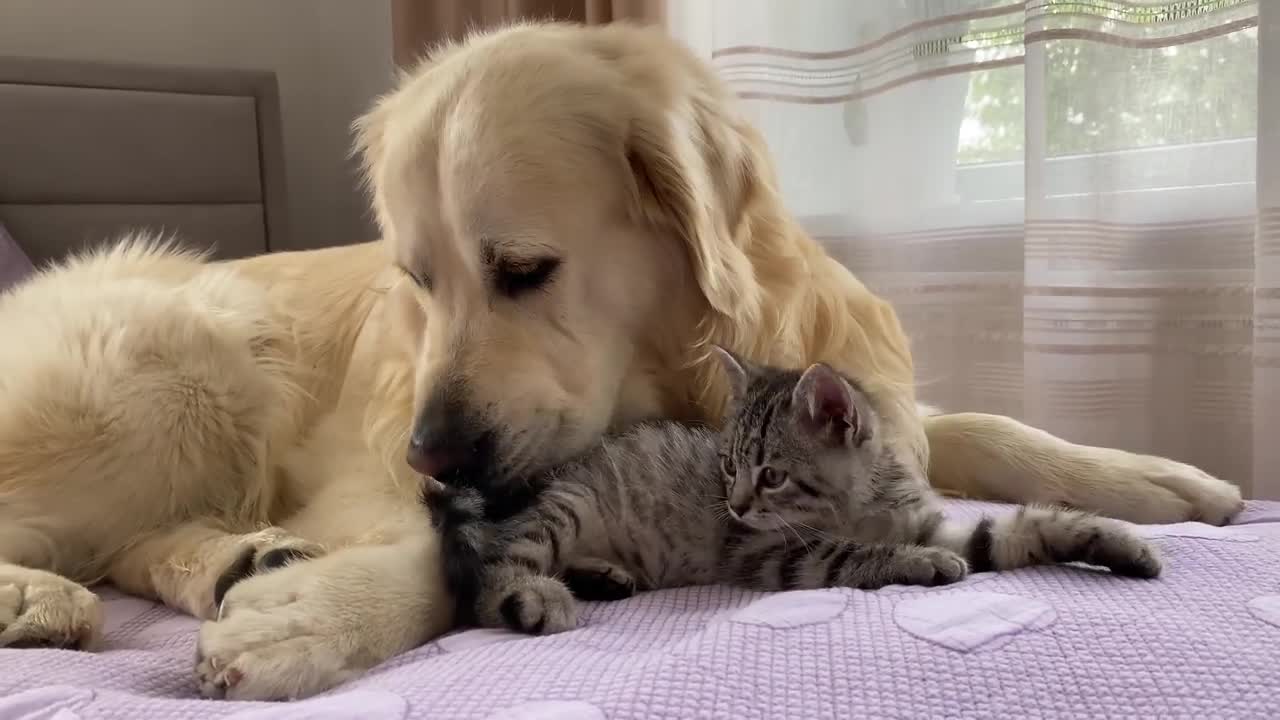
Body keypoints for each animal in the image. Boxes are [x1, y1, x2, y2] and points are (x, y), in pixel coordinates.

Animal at [427, 348, 1162, 632]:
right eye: (729, 468)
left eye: (771, 474)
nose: (734, 503)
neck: (860, 504)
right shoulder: (764, 552)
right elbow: (848, 555)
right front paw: (916, 563)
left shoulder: (936, 519)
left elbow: (1020, 528)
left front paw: (1115, 542)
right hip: (566, 507)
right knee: (493, 575)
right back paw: (535, 596)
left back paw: (603, 575)